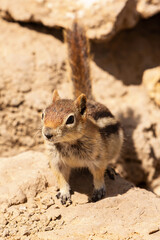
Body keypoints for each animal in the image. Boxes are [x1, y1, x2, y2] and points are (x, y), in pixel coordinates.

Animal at [41, 21, 124, 204]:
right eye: (43, 114)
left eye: (70, 120)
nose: (47, 134)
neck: (68, 143)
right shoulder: (56, 160)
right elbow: (60, 177)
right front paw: (64, 192)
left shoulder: (98, 157)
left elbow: (98, 174)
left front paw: (99, 190)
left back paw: (110, 168)